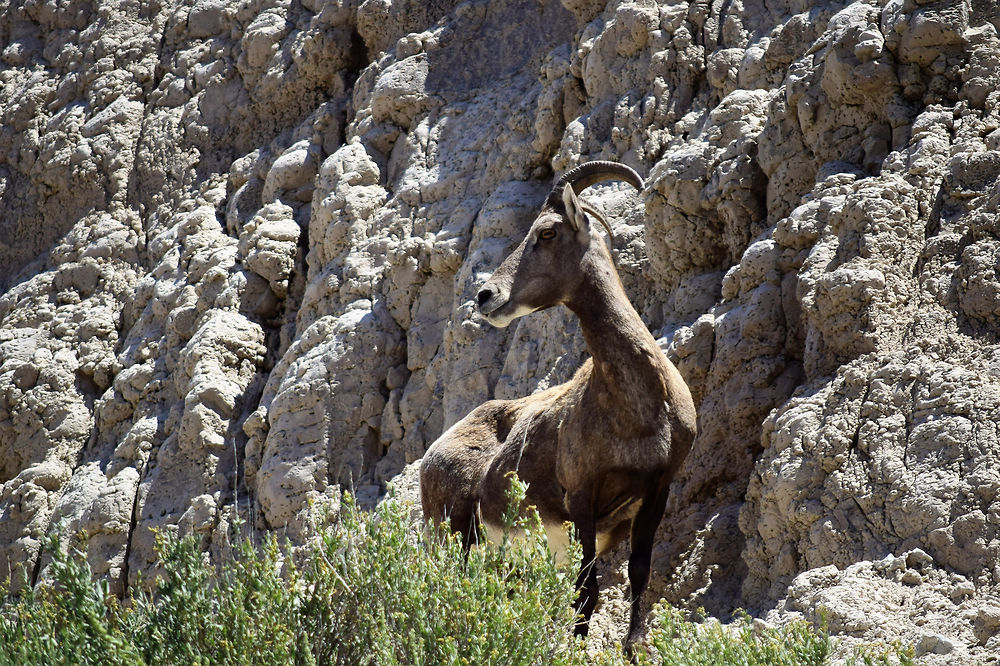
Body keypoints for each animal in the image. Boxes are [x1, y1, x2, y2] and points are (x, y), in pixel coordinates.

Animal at [420, 160, 696, 648]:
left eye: (546, 232)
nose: (486, 296)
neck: (639, 412)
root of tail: (430, 458)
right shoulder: (582, 495)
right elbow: (587, 589)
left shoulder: (657, 489)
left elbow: (638, 576)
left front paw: (632, 648)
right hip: (454, 535)